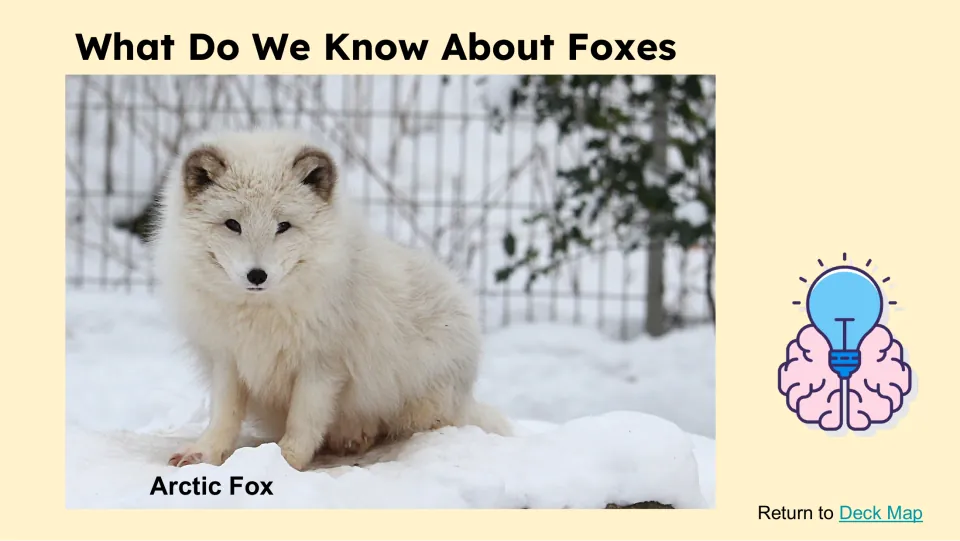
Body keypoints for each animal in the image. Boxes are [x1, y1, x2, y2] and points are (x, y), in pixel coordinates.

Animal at [151, 129, 511, 471]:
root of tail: (466, 397)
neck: (261, 314)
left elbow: (304, 421)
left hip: (422, 400)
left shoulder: (323, 364)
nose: (257, 275)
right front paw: (205, 452)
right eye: (232, 224)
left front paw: (285, 462)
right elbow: (224, 415)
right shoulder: (227, 358)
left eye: (283, 226)